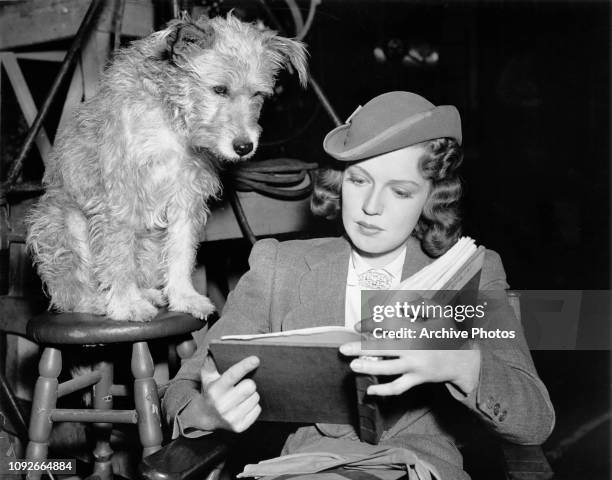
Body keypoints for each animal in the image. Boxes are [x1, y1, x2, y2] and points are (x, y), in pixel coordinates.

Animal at [26, 14, 308, 322]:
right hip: (69, 225)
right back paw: (97, 301)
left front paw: (184, 297)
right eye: (219, 89)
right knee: (69, 292)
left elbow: (181, 253)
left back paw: (147, 293)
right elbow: (119, 257)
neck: (173, 120)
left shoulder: (186, 198)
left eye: (258, 94)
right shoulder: (119, 196)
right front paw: (127, 304)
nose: (244, 147)